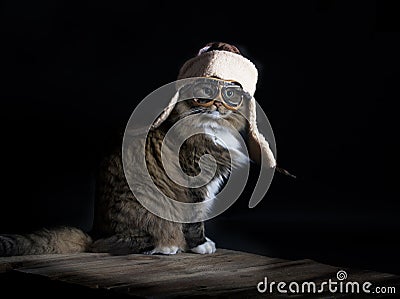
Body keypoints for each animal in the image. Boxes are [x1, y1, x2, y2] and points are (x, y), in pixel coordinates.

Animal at [0, 42, 256, 258]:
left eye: (230, 93)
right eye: (206, 90)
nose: (218, 104)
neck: (213, 127)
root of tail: (95, 231)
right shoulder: (194, 182)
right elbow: (195, 221)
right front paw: (200, 245)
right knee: (110, 245)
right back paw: (167, 246)